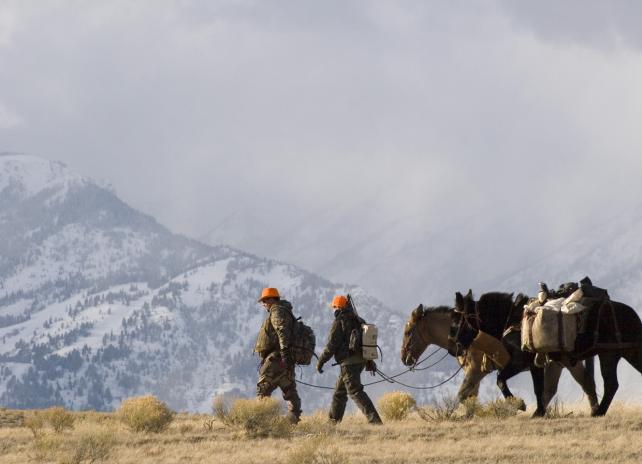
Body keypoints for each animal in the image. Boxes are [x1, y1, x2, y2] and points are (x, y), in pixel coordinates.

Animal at [398, 290, 596, 416]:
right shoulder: (476, 372)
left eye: (408, 332)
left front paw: (517, 405)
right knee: (565, 386)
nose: (404, 359)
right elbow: (470, 395)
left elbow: (465, 394)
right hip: (558, 363)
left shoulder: (479, 370)